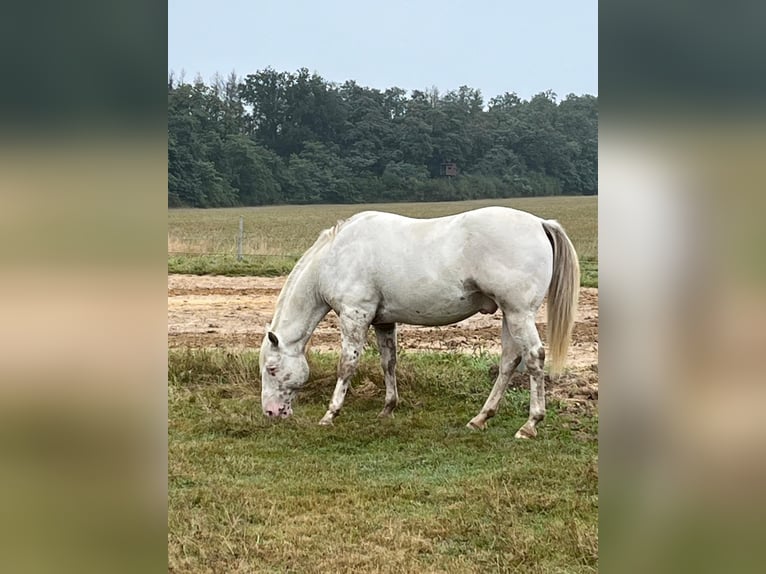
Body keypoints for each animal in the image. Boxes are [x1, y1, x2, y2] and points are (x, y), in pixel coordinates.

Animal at [259, 206, 579, 438]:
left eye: (272, 369)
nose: (271, 413)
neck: (337, 255)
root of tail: (540, 223)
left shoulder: (354, 316)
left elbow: (347, 365)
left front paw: (330, 414)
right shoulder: (383, 323)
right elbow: (388, 362)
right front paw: (387, 409)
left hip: (519, 313)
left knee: (534, 358)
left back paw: (530, 425)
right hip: (510, 315)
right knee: (509, 361)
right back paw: (480, 418)